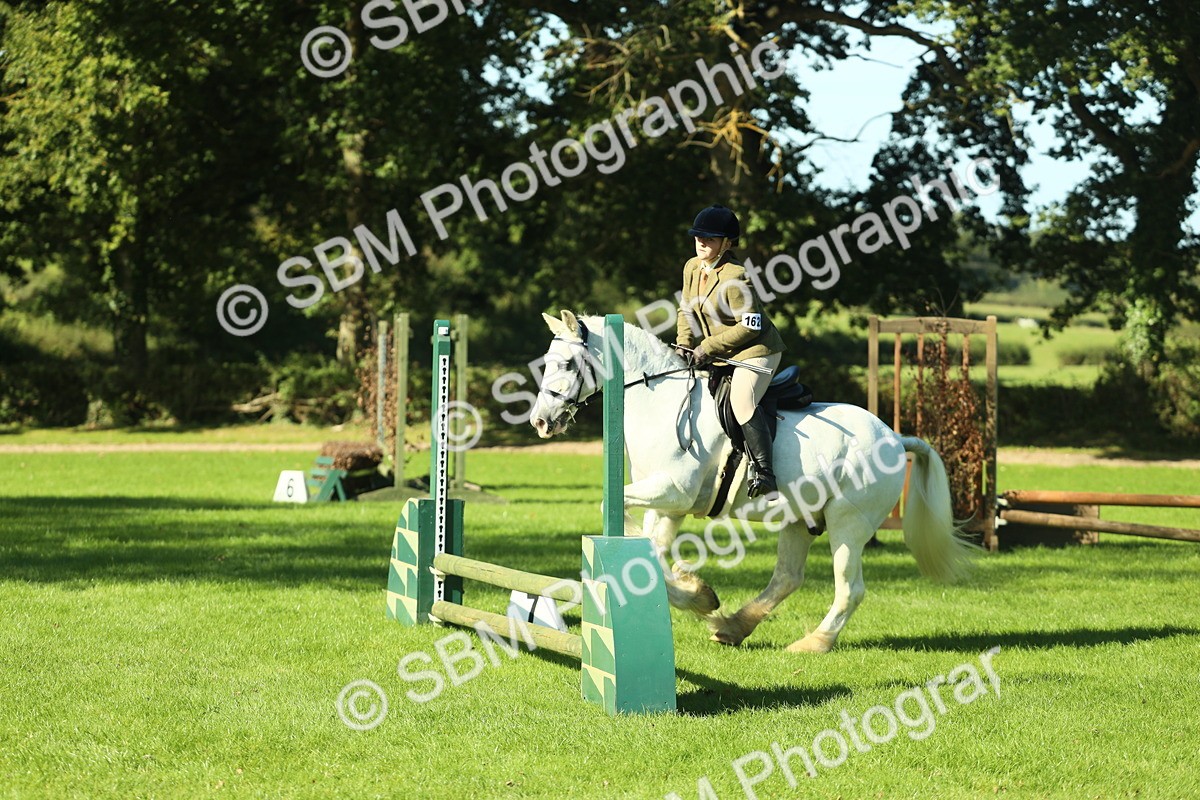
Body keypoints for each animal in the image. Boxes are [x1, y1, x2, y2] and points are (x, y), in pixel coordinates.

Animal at [529, 311, 977, 653]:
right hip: (801, 519)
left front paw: (694, 592)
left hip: (849, 523)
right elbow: (650, 548)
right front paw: (698, 595)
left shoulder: (673, 491)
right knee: (788, 578)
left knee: (850, 588)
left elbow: (614, 510)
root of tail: (894, 437)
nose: (540, 421)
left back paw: (813, 643)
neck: (659, 401)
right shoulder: (666, 503)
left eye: (566, 365)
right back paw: (733, 627)